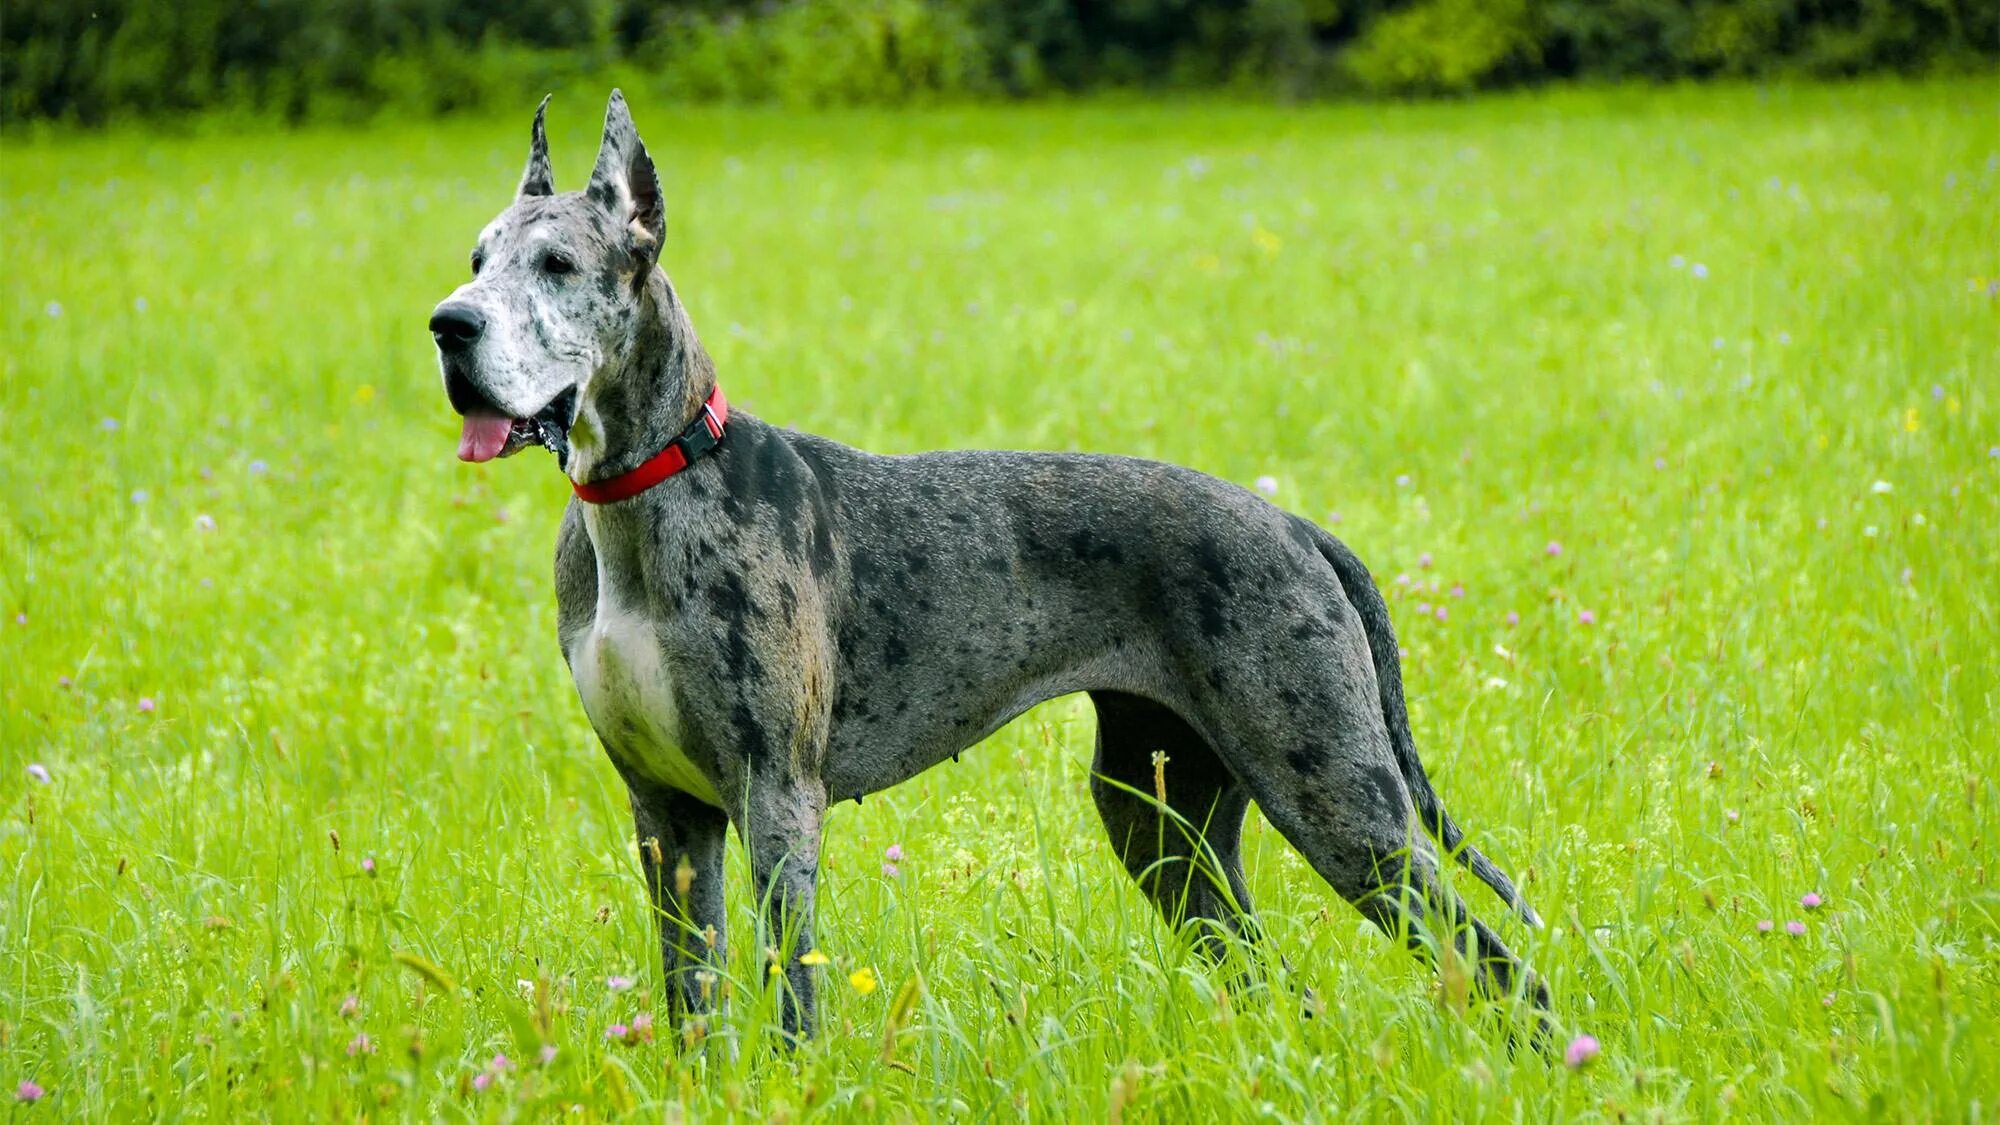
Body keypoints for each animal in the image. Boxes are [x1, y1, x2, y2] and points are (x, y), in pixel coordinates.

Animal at [430, 92, 1552, 1040]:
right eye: (476, 257)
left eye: (557, 267)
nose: (449, 323)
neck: (650, 483)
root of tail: (1290, 523)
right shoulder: (668, 814)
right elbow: (689, 1005)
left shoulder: (775, 796)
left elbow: (791, 994)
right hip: (1161, 823)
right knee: (1276, 978)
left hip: (1337, 798)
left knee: (1495, 961)